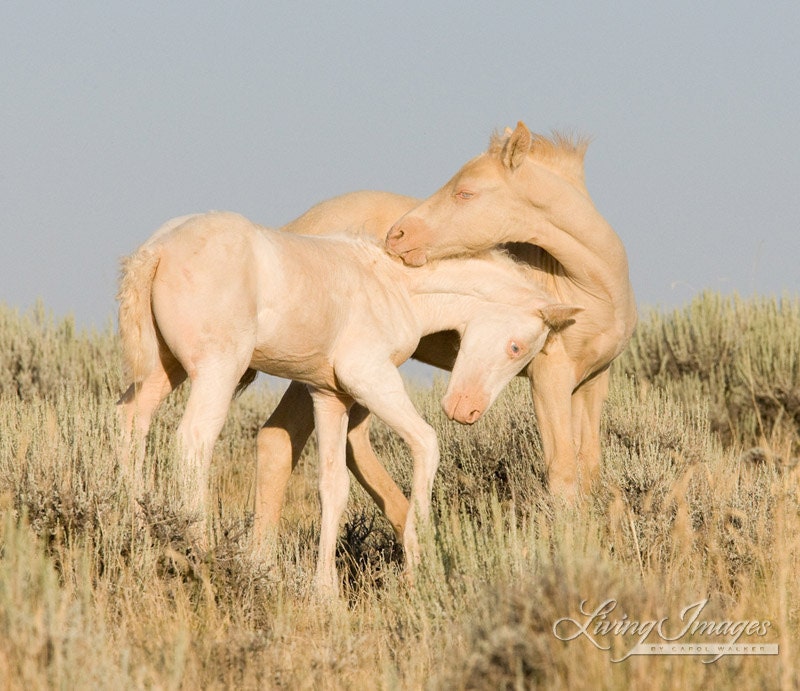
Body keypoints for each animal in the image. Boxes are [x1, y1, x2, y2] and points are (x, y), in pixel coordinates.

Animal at [117, 211, 579, 595]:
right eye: (517, 347)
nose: (465, 411)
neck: (395, 288)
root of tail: (156, 251)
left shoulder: (331, 397)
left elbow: (333, 487)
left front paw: (326, 592)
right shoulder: (368, 375)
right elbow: (427, 443)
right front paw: (416, 567)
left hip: (164, 368)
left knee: (132, 421)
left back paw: (140, 538)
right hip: (217, 370)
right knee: (194, 440)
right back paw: (199, 551)